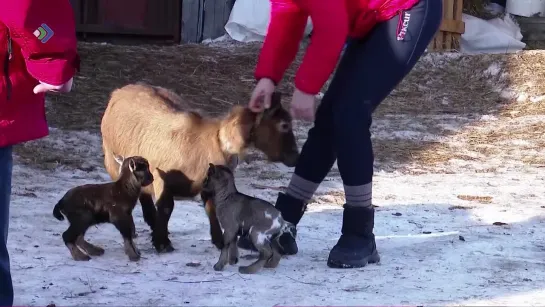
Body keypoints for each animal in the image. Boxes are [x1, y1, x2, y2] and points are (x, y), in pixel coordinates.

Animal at [100, 83, 300, 254]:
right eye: (284, 125)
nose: (295, 157)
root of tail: (119, 92)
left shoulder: (209, 185)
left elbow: (212, 209)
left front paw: (219, 241)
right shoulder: (161, 180)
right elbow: (166, 208)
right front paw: (162, 243)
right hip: (113, 160)